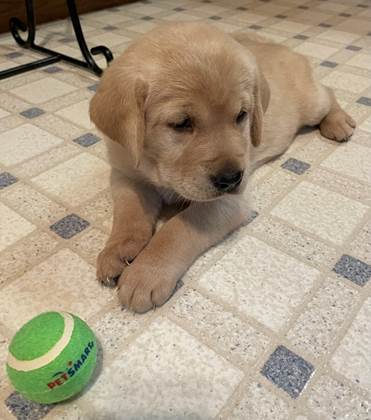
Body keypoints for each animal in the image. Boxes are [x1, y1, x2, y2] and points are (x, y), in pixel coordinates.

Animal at [90, 22, 358, 312]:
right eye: (181, 123)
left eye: (241, 115)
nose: (231, 178)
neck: (158, 167)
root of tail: (280, 46)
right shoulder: (124, 173)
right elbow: (129, 212)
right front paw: (118, 250)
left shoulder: (226, 203)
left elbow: (177, 229)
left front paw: (145, 273)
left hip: (311, 103)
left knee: (328, 92)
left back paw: (339, 122)